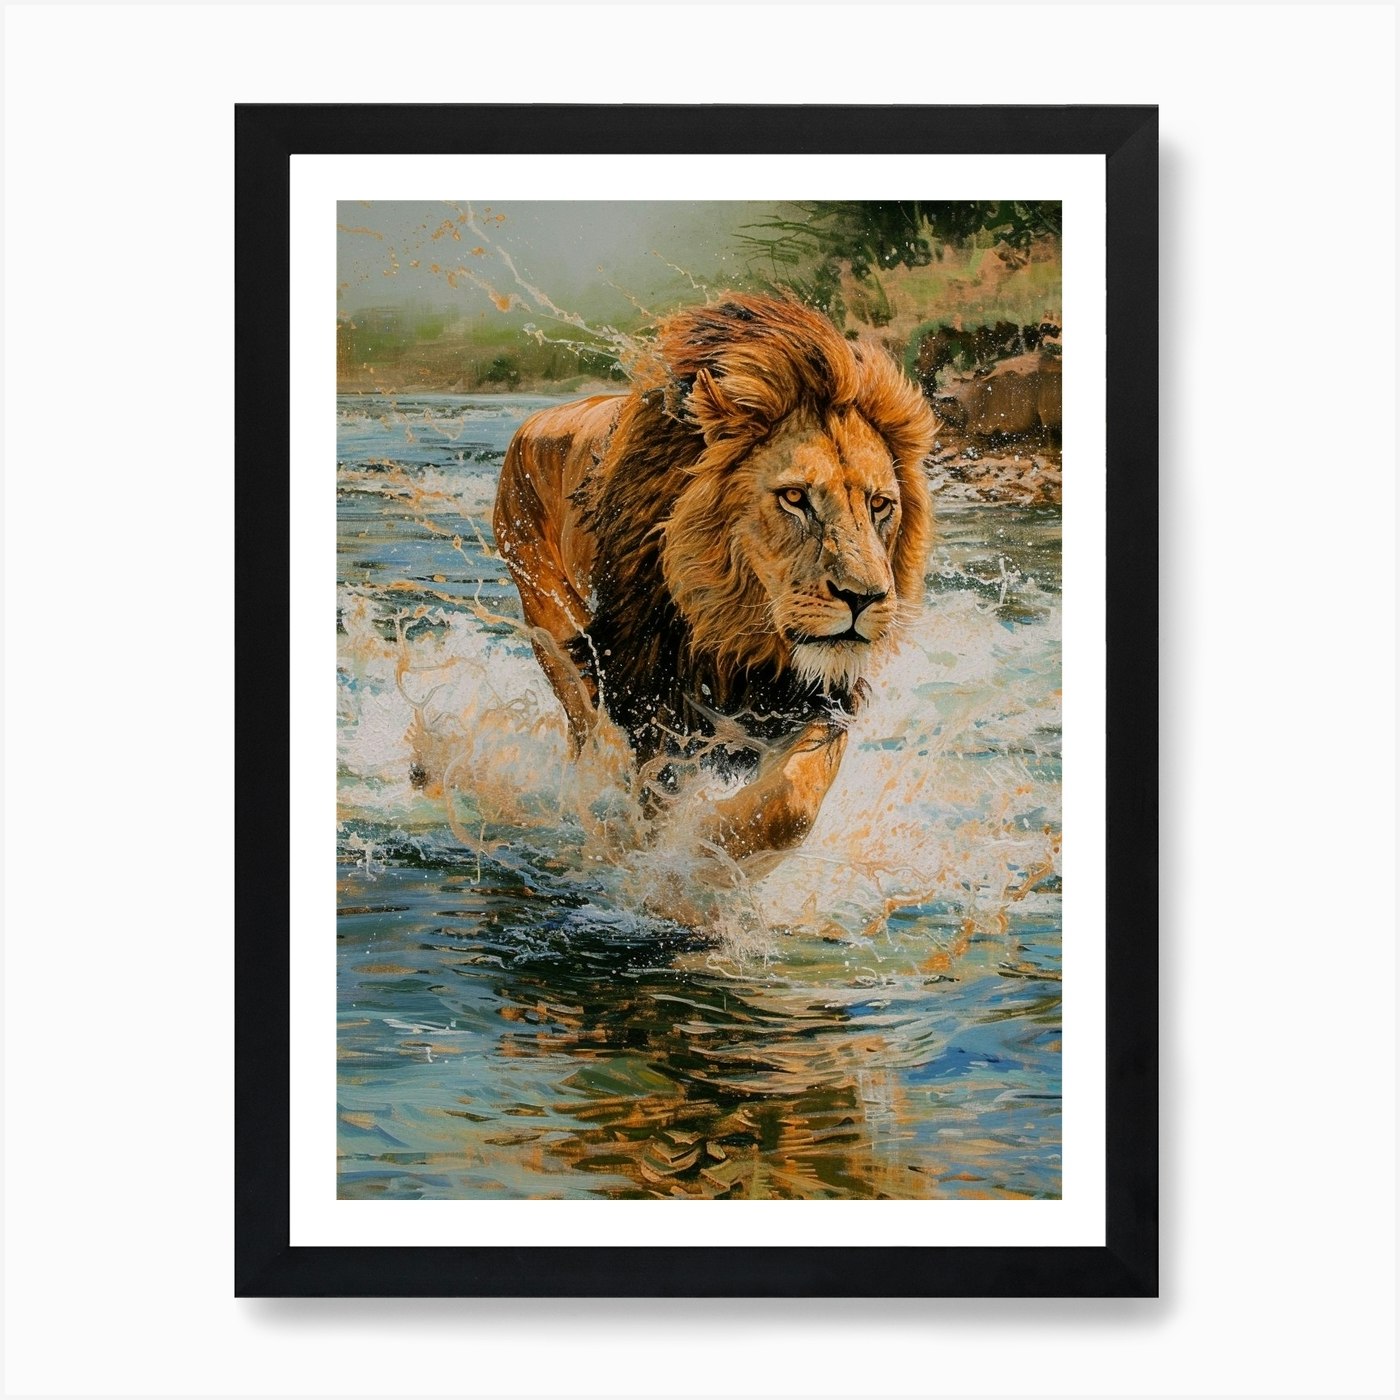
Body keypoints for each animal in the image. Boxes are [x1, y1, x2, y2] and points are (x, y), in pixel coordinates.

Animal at [492, 293, 937, 879]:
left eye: (880, 504)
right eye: (794, 497)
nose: (863, 598)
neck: (736, 633)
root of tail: (535, 419)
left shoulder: (814, 698)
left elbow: (794, 802)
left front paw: (716, 846)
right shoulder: (650, 701)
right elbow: (653, 803)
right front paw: (676, 860)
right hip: (557, 630)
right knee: (589, 733)